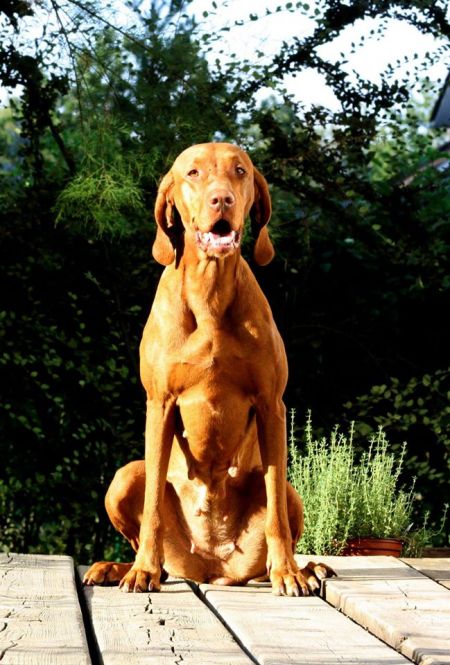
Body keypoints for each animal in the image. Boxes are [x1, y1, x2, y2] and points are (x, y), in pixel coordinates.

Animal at [84, 142, 332, 596]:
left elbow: (275, 512)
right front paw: (142, 571)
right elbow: (152, 508)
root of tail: (212, 567)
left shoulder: (272, 405)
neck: (210, 291)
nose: (222, 200)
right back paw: (121, 567)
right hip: (124, 476)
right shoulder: (159, 403)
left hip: (291, 494)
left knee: (281, 512)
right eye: (193, 173)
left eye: (240, 171)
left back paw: (307, 568)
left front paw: (288, 572)